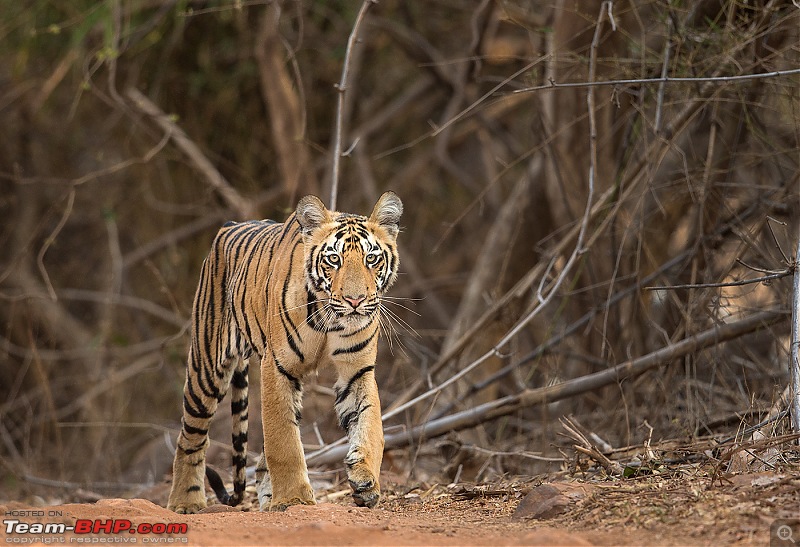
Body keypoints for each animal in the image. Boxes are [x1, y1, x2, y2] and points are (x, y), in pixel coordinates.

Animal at [170, 193, 406, 512]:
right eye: (334, 259)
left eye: (371, 258)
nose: (355, 300)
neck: (330, 317)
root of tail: (229, 225)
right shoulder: (277, 367)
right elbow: (283, 440)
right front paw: (294, 498)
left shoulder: (357, 371)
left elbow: (370, 427)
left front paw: (365, 482)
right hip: (206, 369)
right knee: (190, 437)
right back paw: (185, 502)